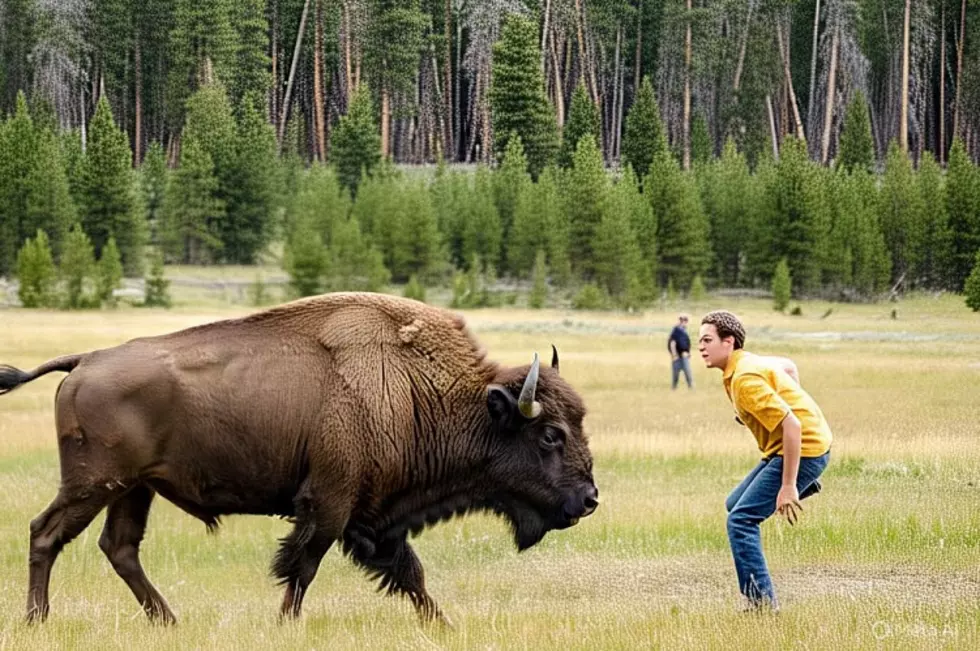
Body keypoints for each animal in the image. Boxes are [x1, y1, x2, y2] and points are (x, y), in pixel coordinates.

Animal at [0, 292, 598, 624]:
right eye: (550, 435)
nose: (590, 499)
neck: (417, 390)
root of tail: (84, 361)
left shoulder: (376, 518)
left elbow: (412, 577)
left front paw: (444, 628)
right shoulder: (329, 505)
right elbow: (302, 569)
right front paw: (285, 626)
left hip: (134, 488)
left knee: (119, 548)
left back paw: (168, 623)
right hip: (95, 483)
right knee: (46, 533)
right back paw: (38, 621)